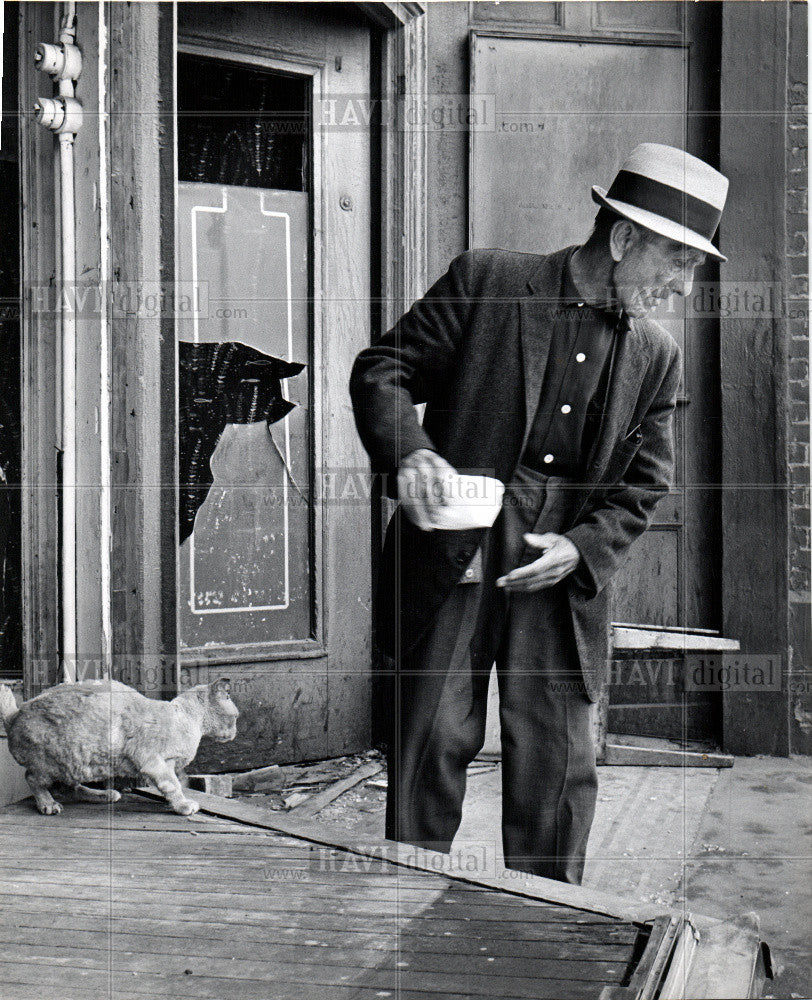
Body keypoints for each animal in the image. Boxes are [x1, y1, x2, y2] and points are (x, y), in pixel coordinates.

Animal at [0, 676, 238, 816]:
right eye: (236, 717)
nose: (235, 733)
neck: (186, 718)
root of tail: (15, 714)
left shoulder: (167, 765)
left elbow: (175, 784)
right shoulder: (155, 763)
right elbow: (174, 786)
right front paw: (183, 806)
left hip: (74, 764)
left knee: (71, 788)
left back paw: (103, 795)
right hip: (54, 765)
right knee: (33, 779)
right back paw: (48, 804)